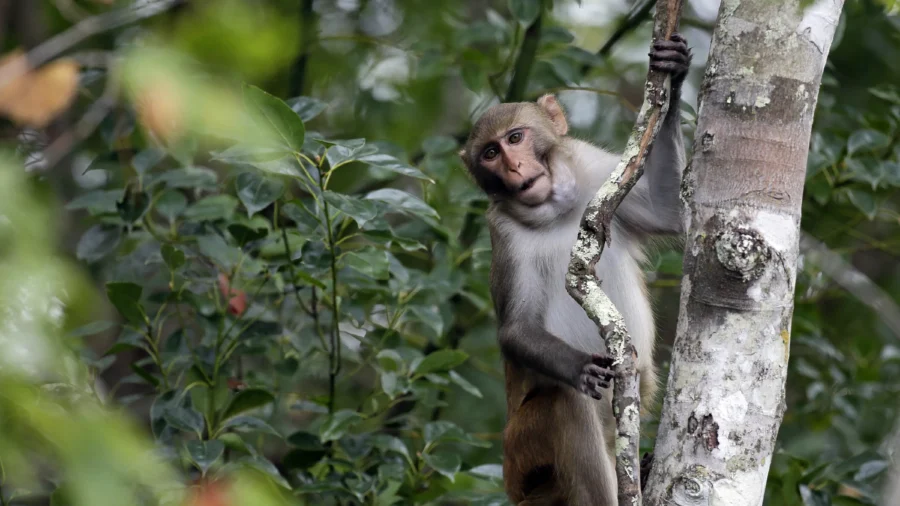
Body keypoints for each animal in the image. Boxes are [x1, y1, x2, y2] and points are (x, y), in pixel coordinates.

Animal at [460, 33, 692, 504]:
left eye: (515, 137)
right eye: (491, 153)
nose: (514, 167)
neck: (557, 211)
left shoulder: (596, 170)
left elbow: (669, 212)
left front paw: (674, 74)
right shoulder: (504, 235)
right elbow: (517, 329)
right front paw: (579, 367)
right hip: (523, 451)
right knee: (566, 406)